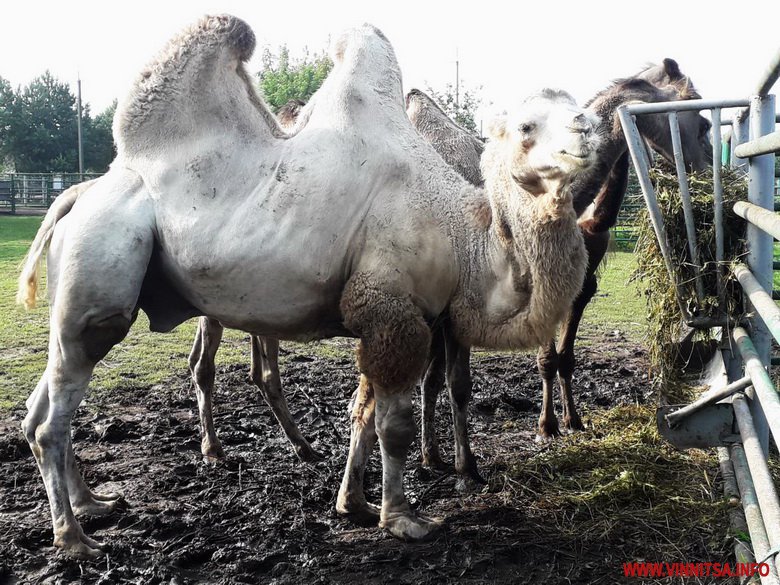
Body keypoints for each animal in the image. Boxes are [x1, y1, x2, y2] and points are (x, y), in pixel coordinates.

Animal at [18, 14, 600, 556]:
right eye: (526, 127)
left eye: (581, 109)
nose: (587, 130)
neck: (464, 236)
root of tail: (78, 194)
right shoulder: (393, 310)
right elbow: (393, 425)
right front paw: (402, 519)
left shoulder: (381, 315)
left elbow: (362, 410)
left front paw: (354, 505)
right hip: (101, 263)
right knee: (58, 408)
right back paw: (73, 539)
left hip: (75, 299)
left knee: (41, 404)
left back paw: (94, 503)